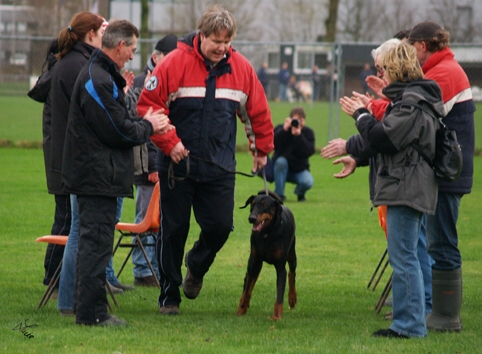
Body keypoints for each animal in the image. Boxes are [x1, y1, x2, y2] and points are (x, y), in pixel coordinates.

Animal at [235, 191, 296, 320]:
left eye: (264, 206)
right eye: (252, 204)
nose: (251, 218)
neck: (267, 234)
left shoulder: (280, 267)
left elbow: (280, 294)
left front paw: (276, 316)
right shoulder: (255, 262)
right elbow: (248, 289)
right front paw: (242, 308)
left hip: (292, 254)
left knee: (292, 273)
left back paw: (292, 298)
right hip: (252, 261)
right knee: (247, 278)